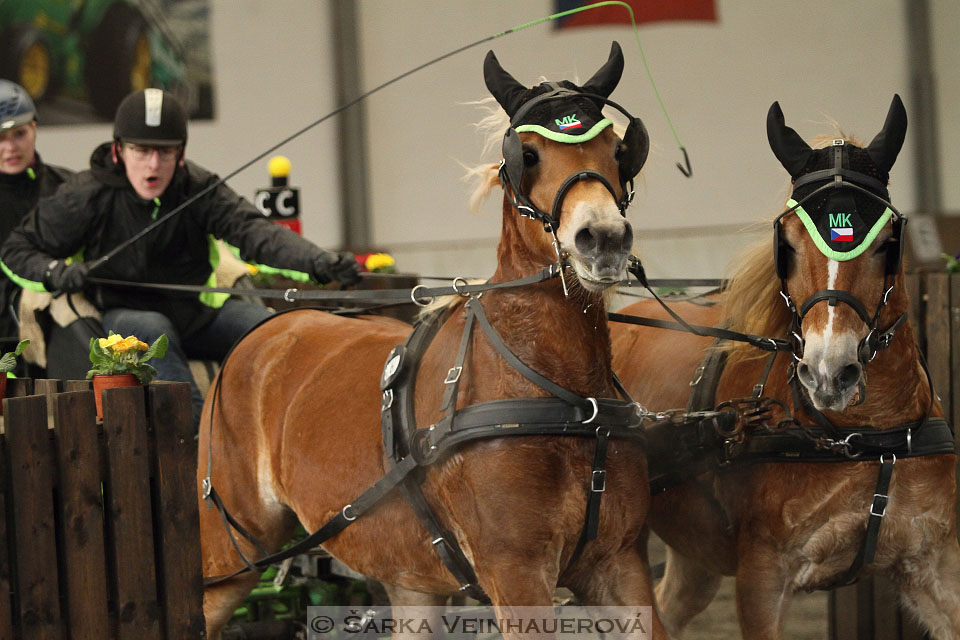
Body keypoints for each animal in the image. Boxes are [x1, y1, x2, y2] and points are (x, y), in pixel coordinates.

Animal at [201, 42, 668, 636]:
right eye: (527, 155)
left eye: (617, 148)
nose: (603, 240)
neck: (560, 397)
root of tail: (267, 332)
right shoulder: (516, 574)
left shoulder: (618, 565)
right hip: (228, 559)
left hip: (411, 582)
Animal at [616, 96, 960, 640]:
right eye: (789, 243)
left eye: (887, 243)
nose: (828, 373)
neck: (862, 437)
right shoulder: (763, 578)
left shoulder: (935, 564)